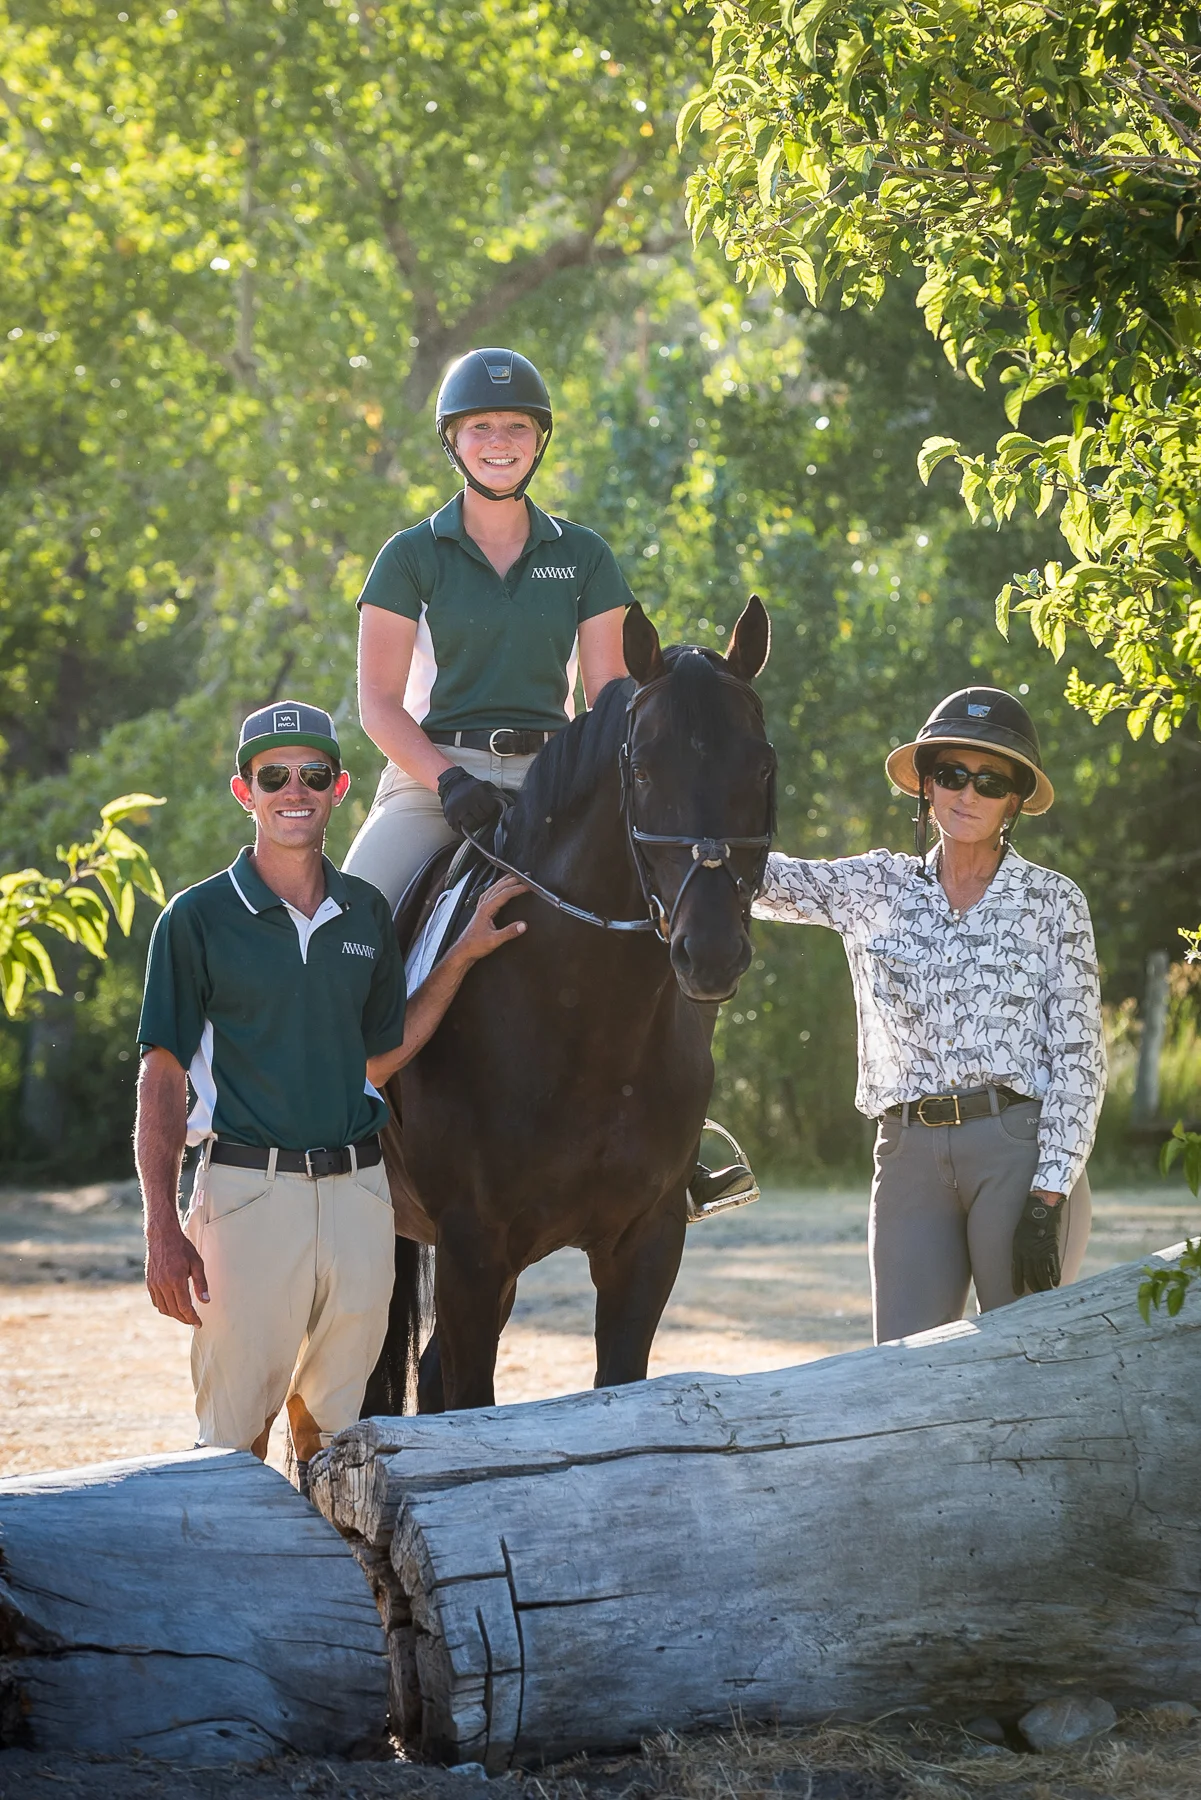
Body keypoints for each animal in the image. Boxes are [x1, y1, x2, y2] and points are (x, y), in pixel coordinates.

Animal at [363, 596, 775, 1415]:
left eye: (762, 764)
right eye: (641, 769)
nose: (711, 951)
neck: (588, 1024)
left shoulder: (646, 1244)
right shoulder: (472, 1249)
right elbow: (470, 1401)